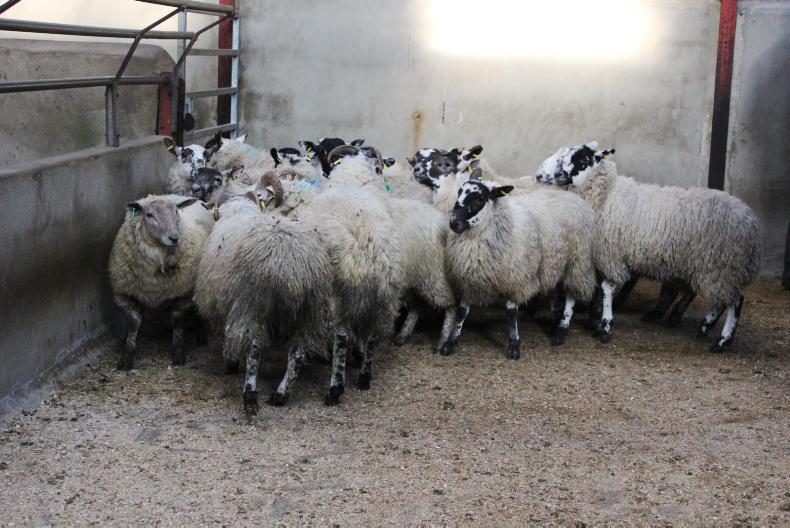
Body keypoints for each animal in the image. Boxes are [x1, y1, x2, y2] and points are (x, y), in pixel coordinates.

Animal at [108, 194, 214, 370]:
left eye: (176, 211)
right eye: (149, 215)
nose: (174, 238)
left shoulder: (182, 295)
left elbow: (177, 322)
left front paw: (178, 354)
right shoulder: (127, 295)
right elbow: (134, 324)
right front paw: (126, 356)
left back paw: (201, 335)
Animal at [193, 179, 334, 418]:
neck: (239, 210)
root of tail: (291, 268)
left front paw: (231, 363)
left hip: (253, 304)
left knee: (254, 351)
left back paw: (250, 396)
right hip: (309, 311)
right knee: (297, 353)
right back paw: (281, 394)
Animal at [442, 168, 597, 358]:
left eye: (480, 199)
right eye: (459, 192)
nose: (453, 222)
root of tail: (574, 197)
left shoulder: (517, 278)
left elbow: (510, 311)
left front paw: (514, 346)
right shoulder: (470, 278)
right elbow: (462, 311)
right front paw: (451, 342)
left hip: (578, 261)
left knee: (571, 295)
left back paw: (561, 330)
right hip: (555, 262)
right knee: (556, 290)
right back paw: (554, 321)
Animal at [535, 143, 762, 352]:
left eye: (582, 160)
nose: (551, 175)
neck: (605, 195)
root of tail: (751, 222)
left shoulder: (611, 255)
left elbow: (606, 288)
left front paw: (605, 326)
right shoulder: (595, 256)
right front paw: (591, 320)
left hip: (723, 266)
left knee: (735, 301)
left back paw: (722, 340)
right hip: (710, 268)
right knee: (717, 298)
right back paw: (702, 325)